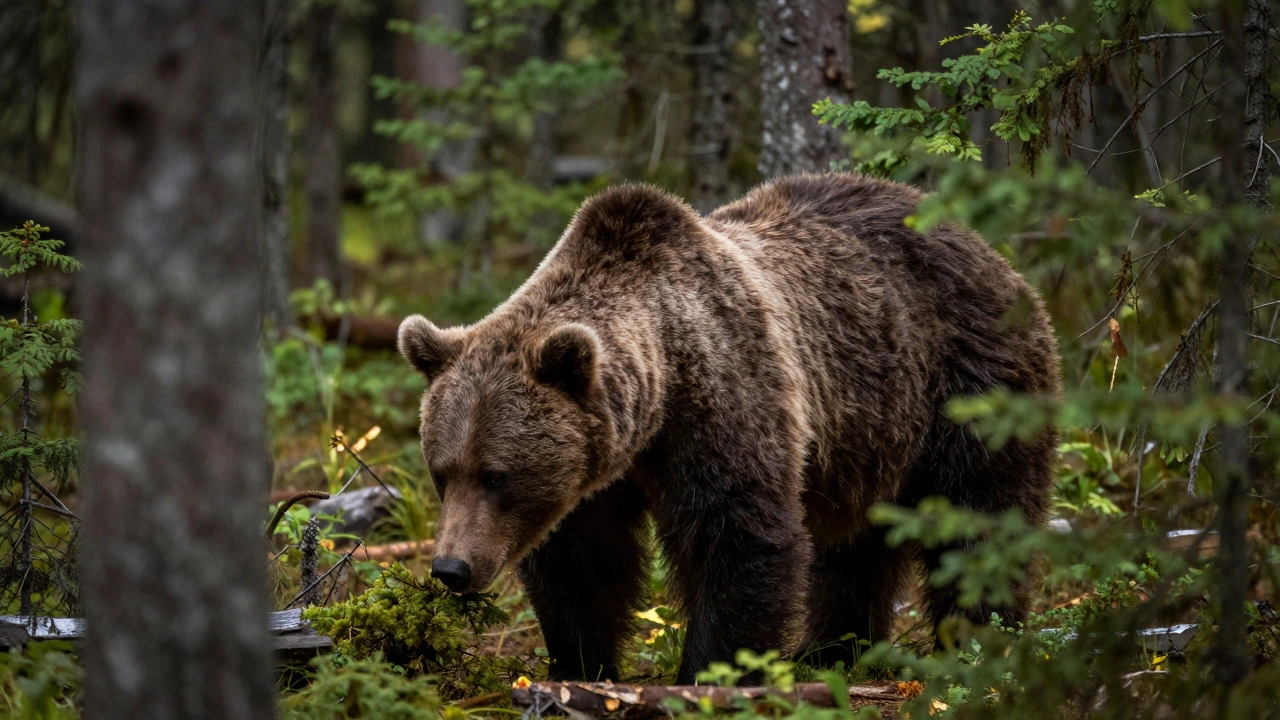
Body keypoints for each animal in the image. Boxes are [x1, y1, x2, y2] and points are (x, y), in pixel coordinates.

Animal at [397, 172, 1061, 684]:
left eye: (496, 475)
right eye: (441, 473)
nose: (451, 569)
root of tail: (993, 253)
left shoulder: (725, 400)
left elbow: (739, 537)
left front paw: (707, 673)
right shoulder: (595, 467)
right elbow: (583, 562)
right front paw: (583, 665)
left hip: (973, 388)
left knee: (981, 523)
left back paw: (975, 644)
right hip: (868, 434)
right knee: (856, 546)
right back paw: (831, 651)